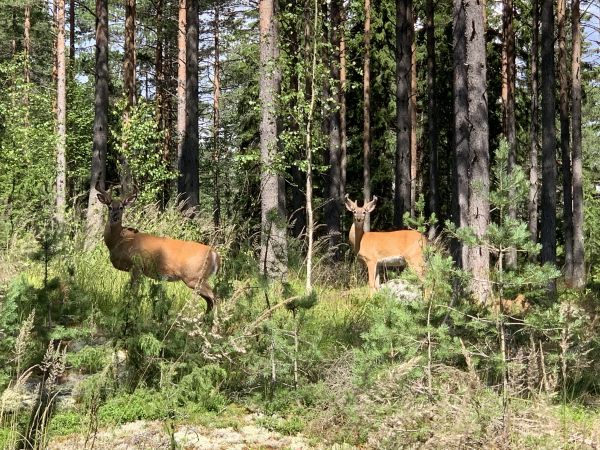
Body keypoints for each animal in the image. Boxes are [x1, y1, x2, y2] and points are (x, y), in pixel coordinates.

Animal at [96, 183, 220, 312]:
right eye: (109, 207)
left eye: (121, 207)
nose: (114, 217)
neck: (120, 240)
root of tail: (214, 254)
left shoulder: (137, 265)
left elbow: (133, 292)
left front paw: (132, 310)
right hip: (199, 279)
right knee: (210, 301)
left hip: (194, 277)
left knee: (215, 297)